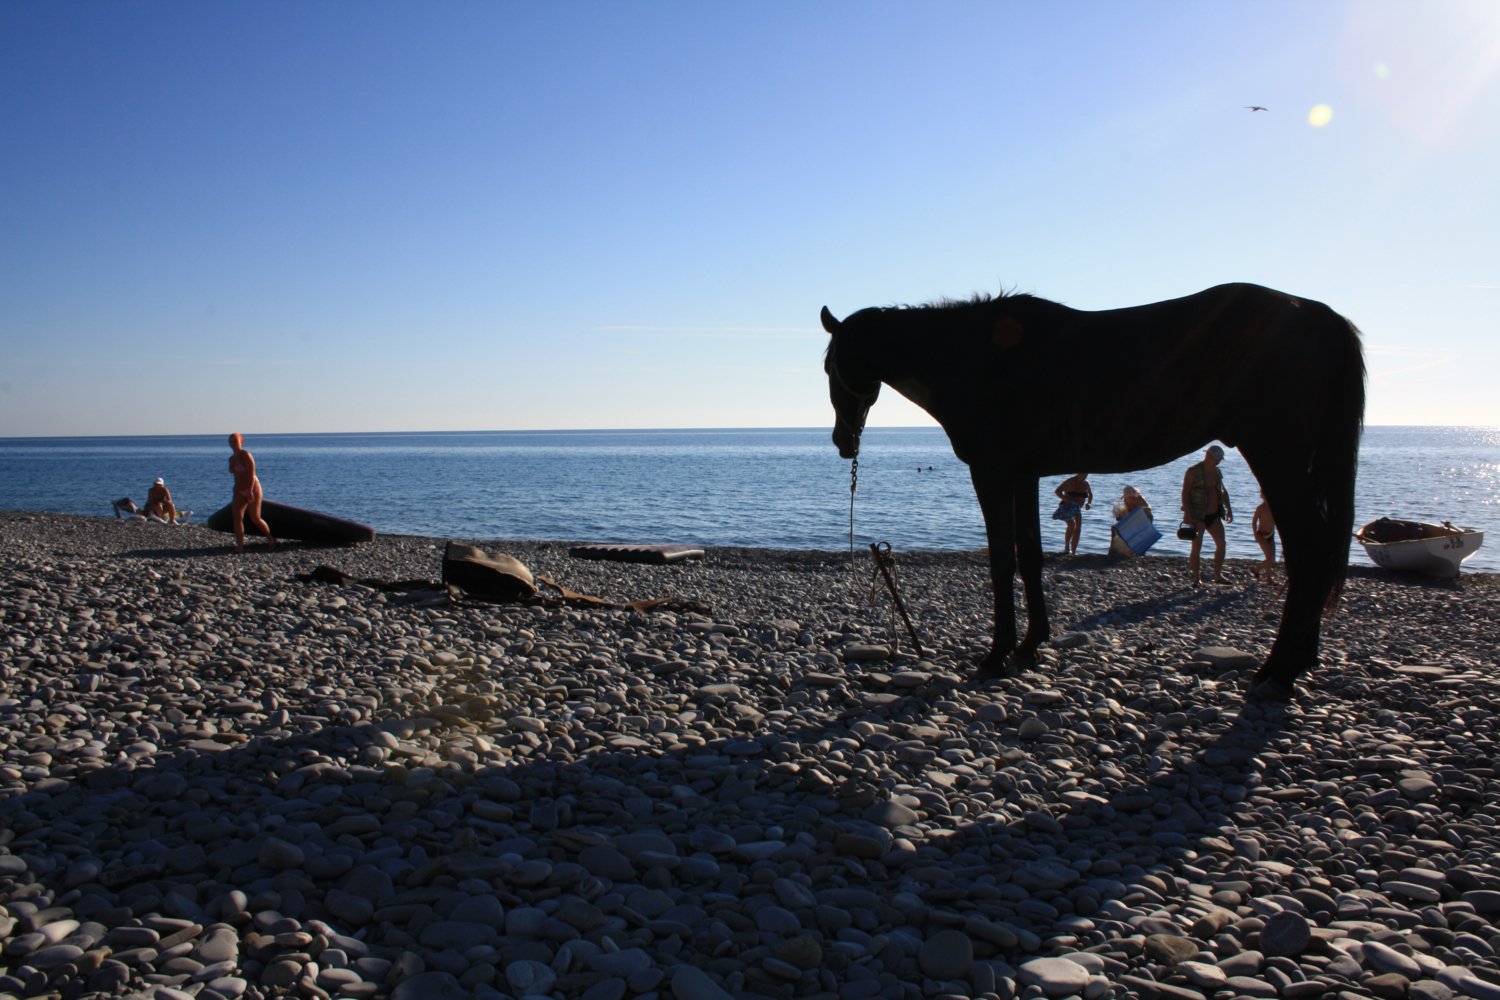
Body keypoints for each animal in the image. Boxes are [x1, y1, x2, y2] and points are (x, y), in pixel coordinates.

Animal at [828, 281, 1368, 704]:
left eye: (834, 365)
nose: (841, 441)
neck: (977, 355)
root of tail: (1313, 312)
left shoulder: (993, 471)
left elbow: (1002, 560)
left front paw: (997, 654)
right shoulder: (1025, 475)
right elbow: (1031, 557)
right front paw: (1030, 646)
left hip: (1276, 456)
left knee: (1309, 553)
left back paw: (1279, 671)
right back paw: (1297, 662)